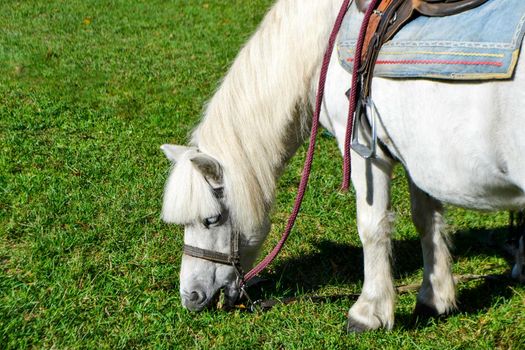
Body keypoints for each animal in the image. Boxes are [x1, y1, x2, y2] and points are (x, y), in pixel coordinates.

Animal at [161, 0, 524, 330]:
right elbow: (428, 221)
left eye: (211, 220)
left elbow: (372, 227)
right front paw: (435, 298)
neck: (321, 46)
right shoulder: (418, 156)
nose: (190, 297)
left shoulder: (366, 152)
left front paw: (369, 312)